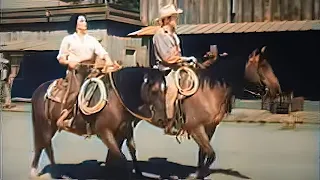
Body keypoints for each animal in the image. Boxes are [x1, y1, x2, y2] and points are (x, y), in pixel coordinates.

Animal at [29, 64, 168, 179]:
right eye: (154, 91)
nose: (162, 119)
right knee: (45, 145)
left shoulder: (125, 130)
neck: (116, 99)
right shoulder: (104, 132)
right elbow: (121, 157)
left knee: (43, 145)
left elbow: (130, 152)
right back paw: (50, 172)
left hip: (50, 126)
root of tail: (38, 90)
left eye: (166, 90)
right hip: (45, 125)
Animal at [122, 46, 280, 179]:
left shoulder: (209, 127)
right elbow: (211, 155)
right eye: (262, 66)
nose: (276, 90)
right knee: (129, 144)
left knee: (128, 143)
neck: (208, 92)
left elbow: (203, 154)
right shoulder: (196, 128)